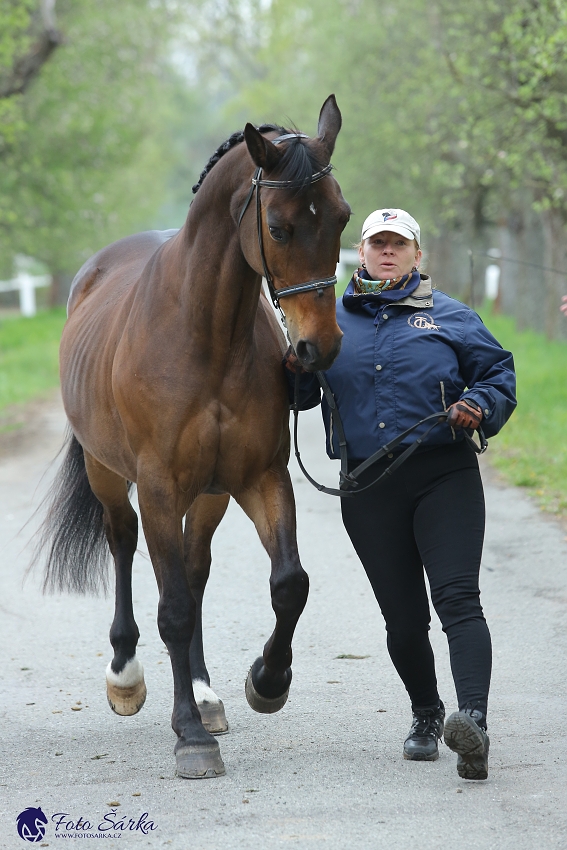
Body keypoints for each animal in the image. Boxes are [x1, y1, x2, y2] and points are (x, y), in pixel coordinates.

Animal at [35, 96, 350, 780]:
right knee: (125, 545)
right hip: (109, 475)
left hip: (209, 494)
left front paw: (266, 681)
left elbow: (288, 584)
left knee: (196, 566)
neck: (205, 336)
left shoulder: (258, 478)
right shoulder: (157, 486)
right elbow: (173, 608)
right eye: (279, 228)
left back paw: (205, 693)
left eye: (341, 218)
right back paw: (127, 675)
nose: (320, 347)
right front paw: (189, 737)